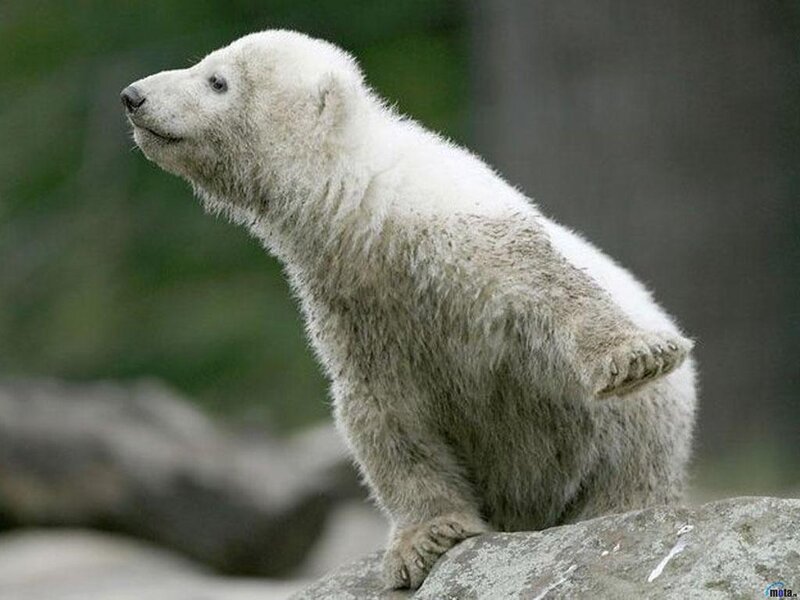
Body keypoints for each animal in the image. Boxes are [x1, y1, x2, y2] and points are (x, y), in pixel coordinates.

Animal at [121, 30, 697, 589]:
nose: (133, 96)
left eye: (216, 80)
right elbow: (385, 415)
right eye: (205, 66)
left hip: (635, 435)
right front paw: (426, 541)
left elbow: (545, 283)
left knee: (625, 479)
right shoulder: (358, 306)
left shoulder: (469, 232)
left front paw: (636, 356)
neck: (371, 211)